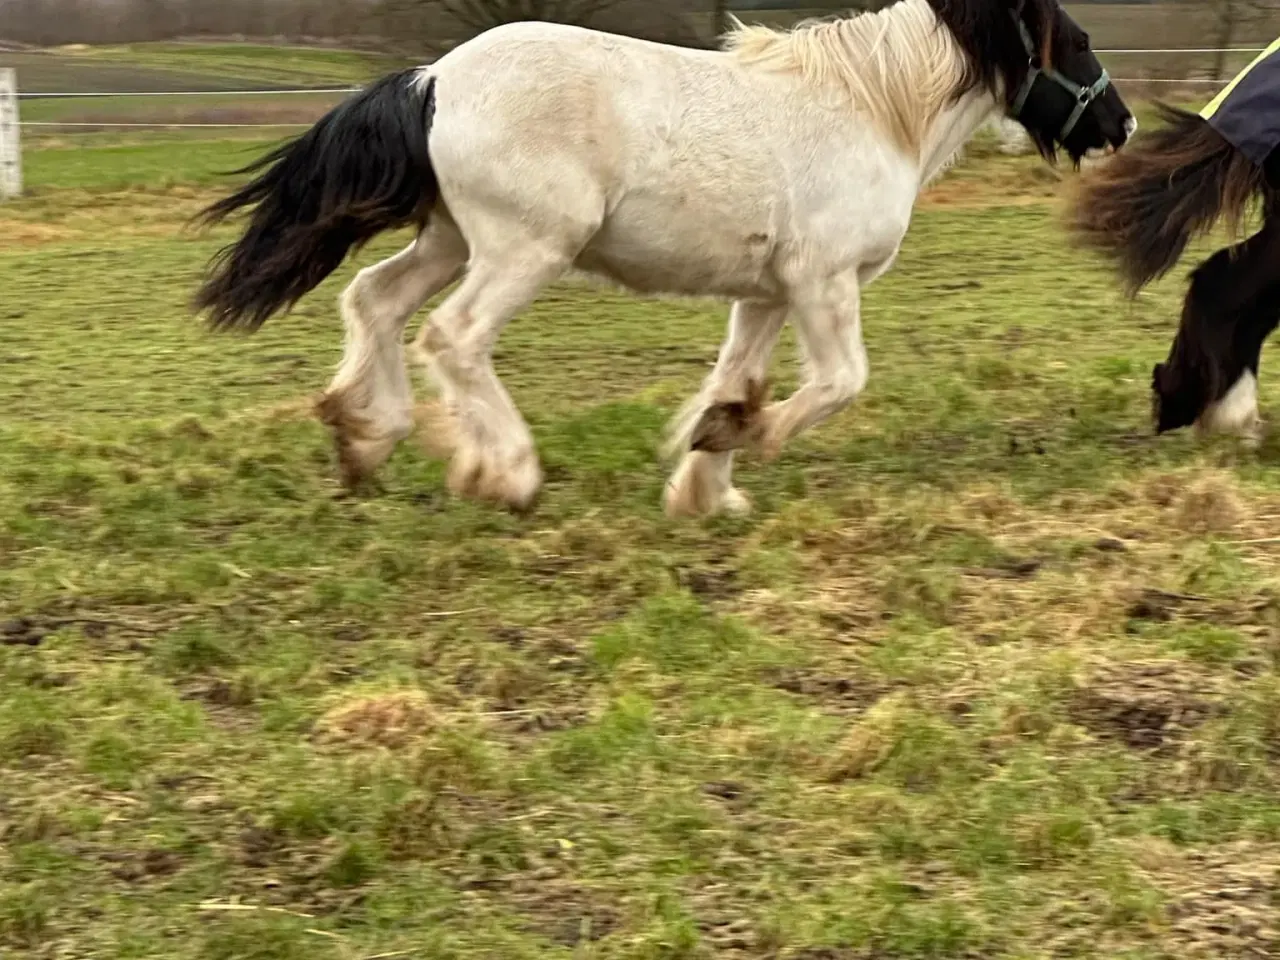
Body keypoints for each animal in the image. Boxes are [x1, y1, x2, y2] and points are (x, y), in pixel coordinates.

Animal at [189, 0, 1131, 519]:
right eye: (1078, 38)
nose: (1119, 123)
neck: (870, 110)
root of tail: (433, 79)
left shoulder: (768, 294)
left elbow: (736, 379)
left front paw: (706, 487)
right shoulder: (823, 283)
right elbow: (838, 383)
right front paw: (743, 441)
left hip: (451, 239)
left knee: (374, 300)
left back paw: (363, 436)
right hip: (525, 249)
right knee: (453, 338)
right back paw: (507, 474)